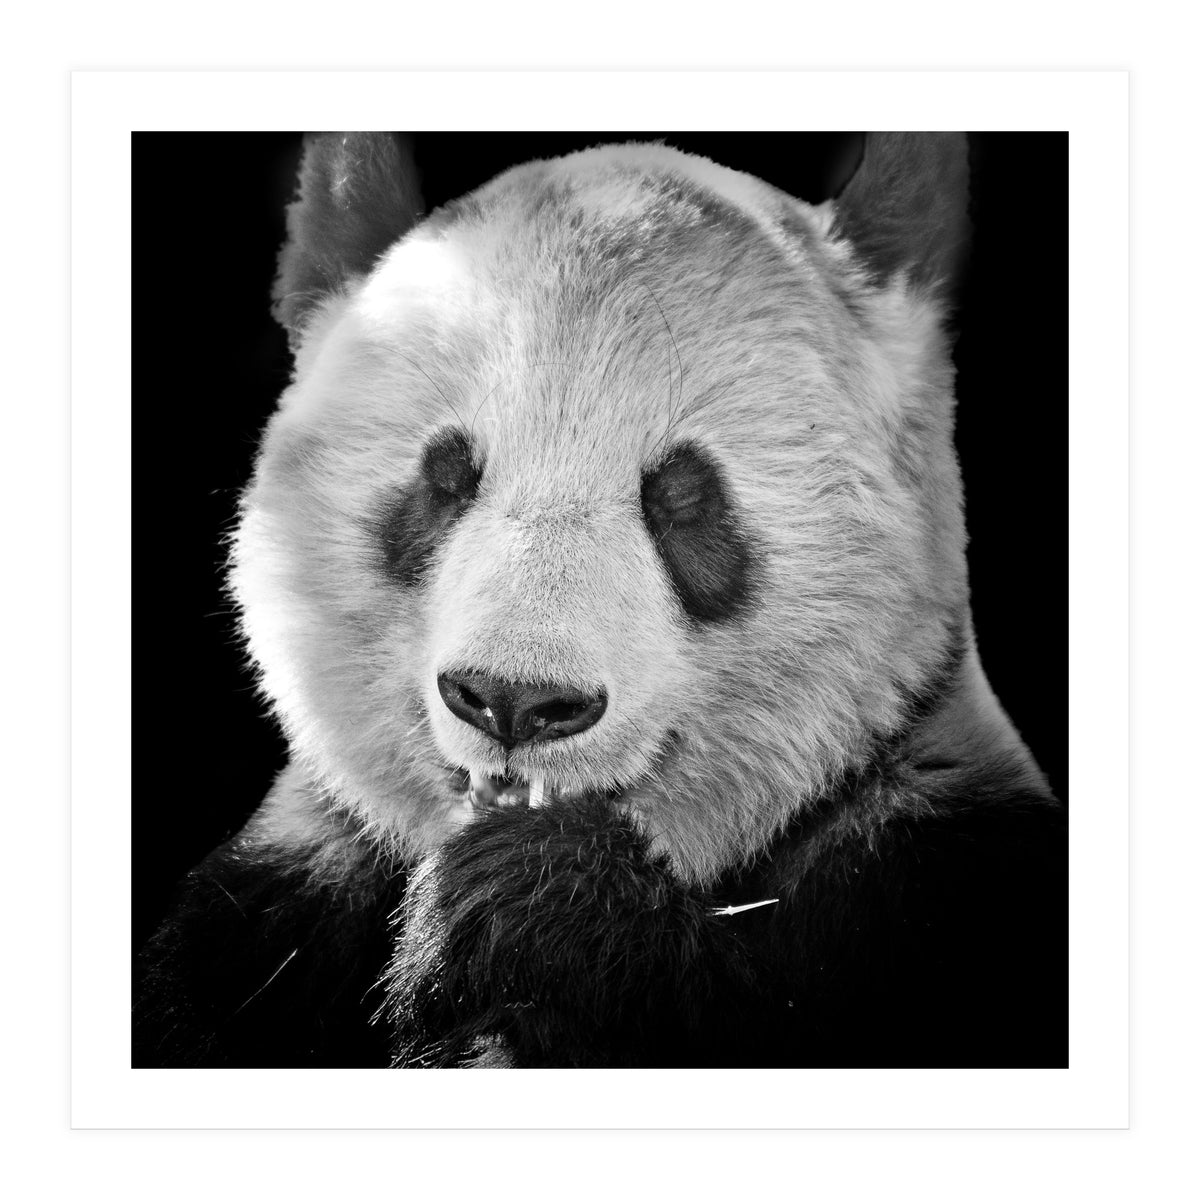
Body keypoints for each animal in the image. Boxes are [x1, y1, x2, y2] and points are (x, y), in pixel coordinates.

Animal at [134, 132, 1066, 1069]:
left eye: (683, 497)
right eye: (445, 478)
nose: (515, 701)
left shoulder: (933, 876)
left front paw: (532, 904)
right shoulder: (270, 912)